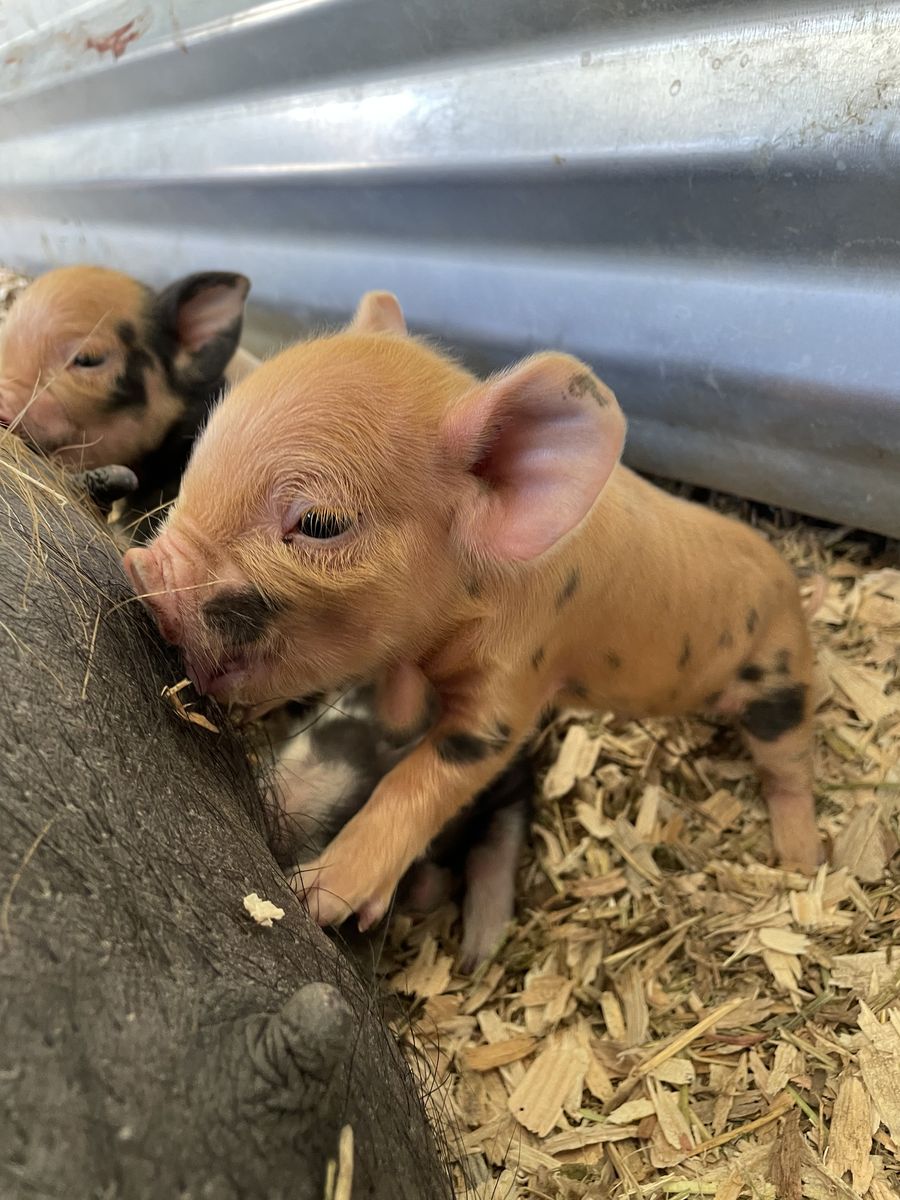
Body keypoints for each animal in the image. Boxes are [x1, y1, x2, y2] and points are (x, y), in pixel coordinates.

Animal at [125, 291, 822, 933]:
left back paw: (802, 862)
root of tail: (789, 577)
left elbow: (426, 777)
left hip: (778, 678)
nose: (142, 568)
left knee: (788, 762)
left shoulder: (519, 676)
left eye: (322, 523)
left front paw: (315, 898)